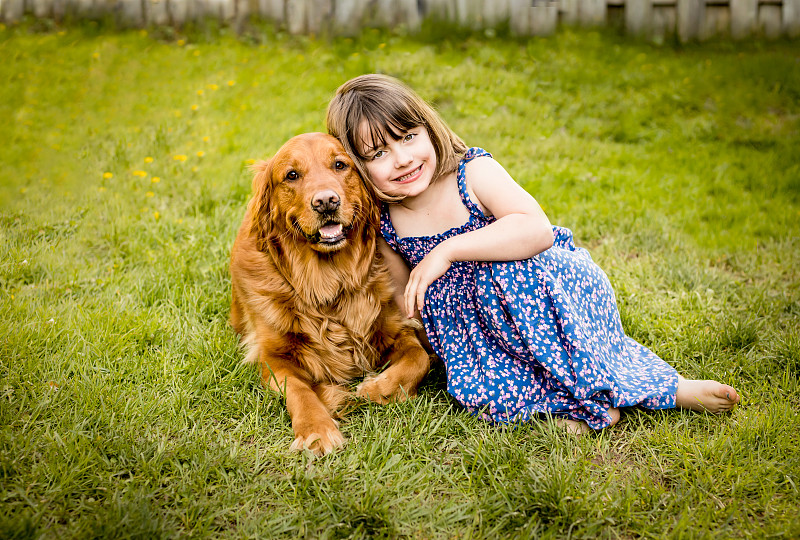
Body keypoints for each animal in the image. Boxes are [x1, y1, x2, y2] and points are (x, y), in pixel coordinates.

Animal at [230, 132, 432, 456]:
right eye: (291, 175)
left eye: (340, 165)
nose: (326, 201)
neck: (328, 286)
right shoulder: (273, 357)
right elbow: (299, 389)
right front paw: (317, 429)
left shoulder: (394, 327)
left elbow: (418, 358)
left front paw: (376, 388)